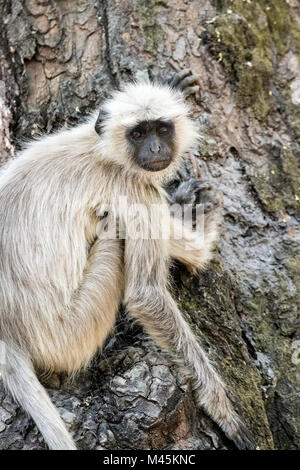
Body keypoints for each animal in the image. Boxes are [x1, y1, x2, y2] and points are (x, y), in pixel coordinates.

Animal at [0, 69, 255, 448]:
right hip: (72, 333)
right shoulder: (134, 191)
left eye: (161, 129)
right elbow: (147, 294)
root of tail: (8, 333)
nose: (155, 149)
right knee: (116, 232)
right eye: (138, 134)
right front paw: (220, 406)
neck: (102, 153)